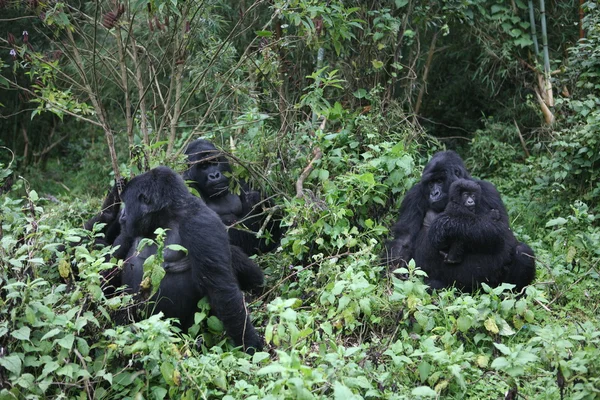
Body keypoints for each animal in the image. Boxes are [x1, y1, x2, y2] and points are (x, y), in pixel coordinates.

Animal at [112, 166, 262, 354]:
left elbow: (222, 291)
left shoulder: (200, 223)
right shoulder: (128, 230)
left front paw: (250, 344)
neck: (166, 216)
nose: (122, 214)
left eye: (127, 203)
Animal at [386, 150, 536, 290]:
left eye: (439, 181)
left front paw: (447, 226)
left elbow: (503, 235)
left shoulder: (489, 191)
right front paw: (393, 274)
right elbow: (404, 239)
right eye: (430, 183)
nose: (434, 193)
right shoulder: (413, 195)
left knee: (522, 251)